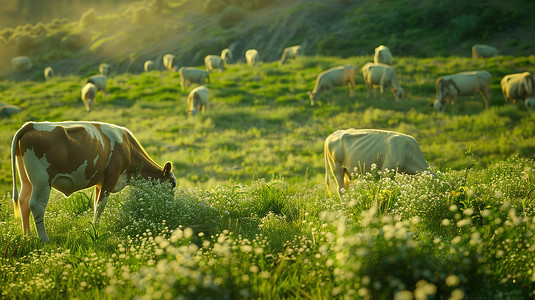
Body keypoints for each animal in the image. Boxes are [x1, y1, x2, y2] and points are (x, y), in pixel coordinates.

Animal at [10, 121, 177, 241]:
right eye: (172, 184)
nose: (171, 205)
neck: (128, 148)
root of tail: (32, 125)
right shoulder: (111, 177)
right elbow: (100, 206)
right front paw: (94, 230)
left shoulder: (99, 182)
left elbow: (96, 204)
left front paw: (93, 227)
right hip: (42, 180)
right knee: (36, 205)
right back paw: (44, 239)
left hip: (27, 180)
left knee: (24, 202)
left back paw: (28, 236)